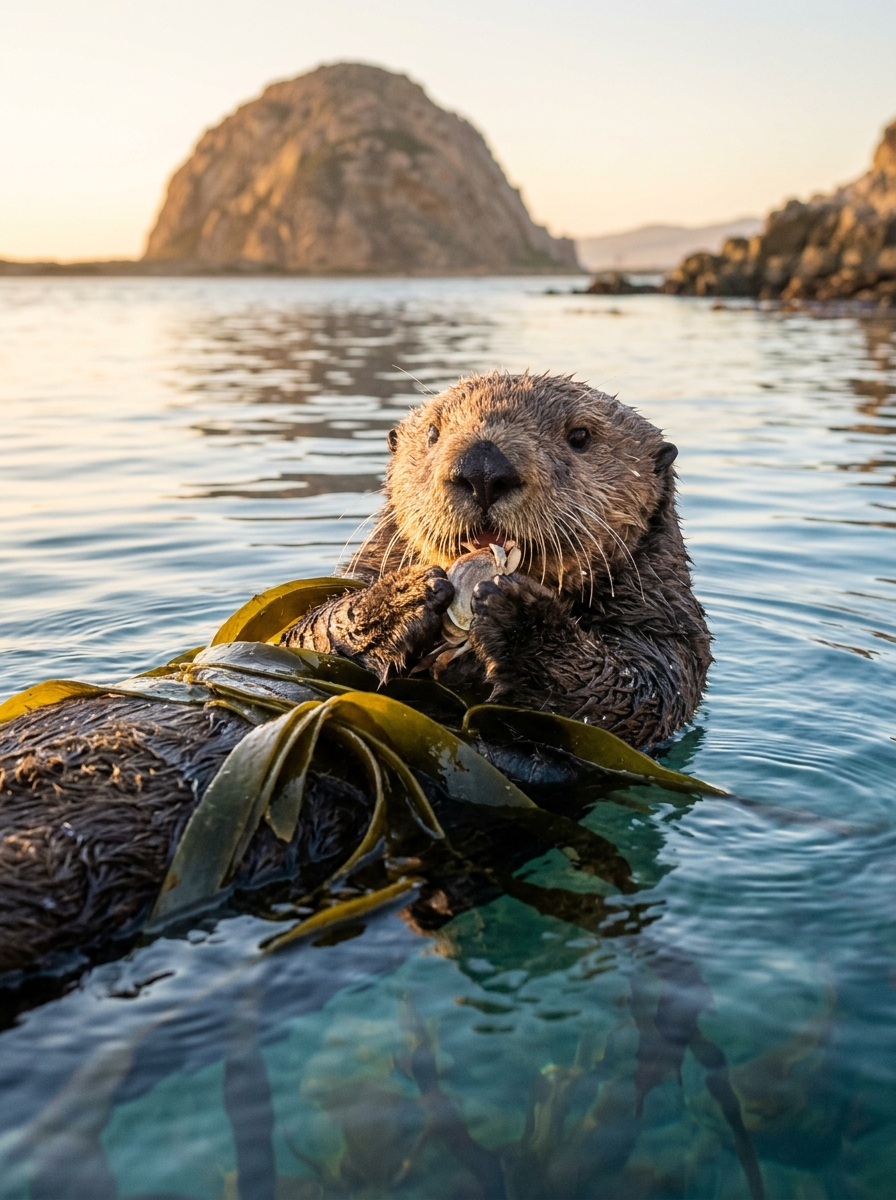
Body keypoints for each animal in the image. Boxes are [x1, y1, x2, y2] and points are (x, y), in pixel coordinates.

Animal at [282, 371, 712, 749]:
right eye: (433, 432)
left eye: (580, 436)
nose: (483, 467)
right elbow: (303, 633)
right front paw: (402, 600)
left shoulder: (665, 624)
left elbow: (635, 695)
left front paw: (520, 616)